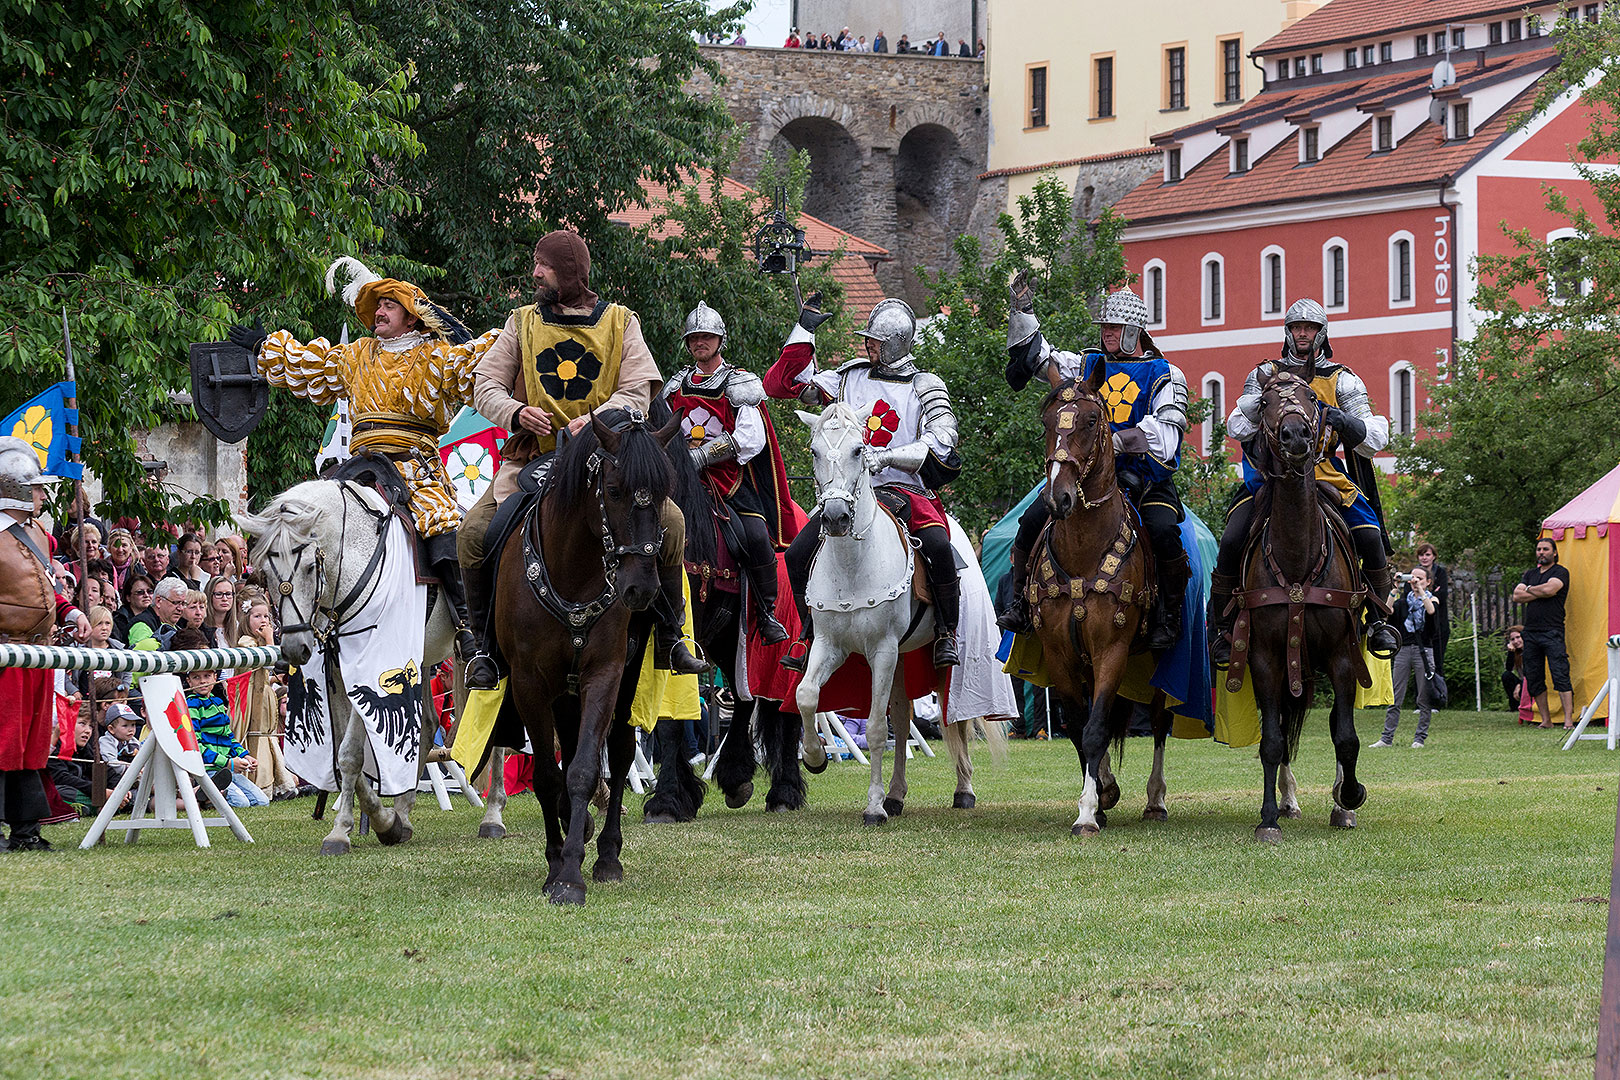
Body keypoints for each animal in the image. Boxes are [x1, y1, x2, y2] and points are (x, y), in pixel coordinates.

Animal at [246, 479, 463, 854]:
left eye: (309, 567)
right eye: (266, 573)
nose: (293, 648)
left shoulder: (369, 666)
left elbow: (349, 754)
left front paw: (343, 831)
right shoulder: (334, 671)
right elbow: (343, 758)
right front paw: (384, 822)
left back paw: (493, 816)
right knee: (426, 726)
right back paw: (403, 813)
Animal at [486, 404, 677, 906]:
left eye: (664, 491)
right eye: (613, 491)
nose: (641, 589)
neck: (572, 570)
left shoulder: (604, 675)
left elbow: (584, 769)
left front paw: (572, 873)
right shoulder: (530, 685)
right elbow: (548, 775)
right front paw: (557, 864)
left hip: (621, 681)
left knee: (622, 751)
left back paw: (607, 853)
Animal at [793, 404, 984, 829]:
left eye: (858, 450)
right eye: (814, 451)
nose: (834, 517)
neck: (853, 564)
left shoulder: (881, 649)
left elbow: (878, 728)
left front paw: (873, 807)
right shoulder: (830, 645)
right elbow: (807, 696)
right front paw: (814, 757)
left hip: (931, 660)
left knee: (954, 719)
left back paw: (963, 790)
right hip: (901, 659)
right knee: (902, 711)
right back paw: (896, 795)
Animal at [1030, 369, 1172, 835]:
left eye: (1092, 420)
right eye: (1047, 422)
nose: (1059, 499)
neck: (1083, 551)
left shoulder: (1112, 650)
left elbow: (1096, 729)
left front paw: (1089, 812)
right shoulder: (1060, 655)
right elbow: (1080, 728)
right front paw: (1102, 795)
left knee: (1160, 721)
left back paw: (1155, 799)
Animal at [1218, 367, 1373, 841]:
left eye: (1311, 399)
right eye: (1266, 400)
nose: (1296, 436)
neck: (1298, 559)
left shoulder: (1342, 656)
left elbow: (1345, 735)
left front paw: (1350, 797)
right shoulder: (1265, 659)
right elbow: (1271, 740)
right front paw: (1268, 817)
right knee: (1284, 728)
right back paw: (1286, 802)